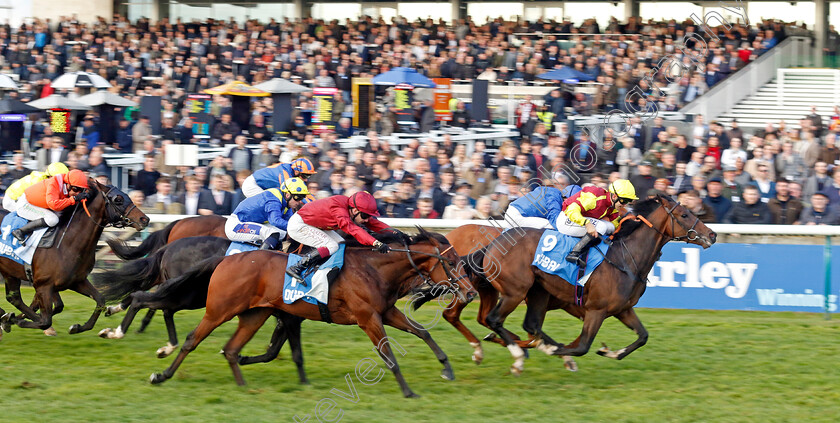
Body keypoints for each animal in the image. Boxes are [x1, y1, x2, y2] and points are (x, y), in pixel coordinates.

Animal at [0, 181, 149, 336]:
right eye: (118, 199)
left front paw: (77, 327)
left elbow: (100, 301)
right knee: (16, 300)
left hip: (9, 272)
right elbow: (45, 321)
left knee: (14, 298)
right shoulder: (43, 285)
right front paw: (13, 320)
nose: (144, 219)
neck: (66, 244)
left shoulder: (77, 281)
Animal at [151, 229, 476, 398]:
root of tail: (227, 260)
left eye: (461, 260)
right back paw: (161, 374)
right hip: (220, 309)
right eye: (451, 263)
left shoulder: (385, 311)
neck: (373, 269)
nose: (471, 293)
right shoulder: (368, 318)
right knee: (192, 339)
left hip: (255, 314)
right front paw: (408, 391)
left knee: (231, 349)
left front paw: (446, 369)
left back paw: (243, 386)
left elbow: (422, 331)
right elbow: (389, 357)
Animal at [472, 195, 716, 374]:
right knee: (494, 319)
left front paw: (609, 352)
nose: (712, 234)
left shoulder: (623, 309)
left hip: (538, 292)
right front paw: (559, 352)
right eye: (684, 214)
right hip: (515, 292)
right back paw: (517, 357)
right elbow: (581, 346)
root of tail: (493, 244)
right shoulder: (596, 310)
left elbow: (642, 336)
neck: (626, 259)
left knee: (529, 325)